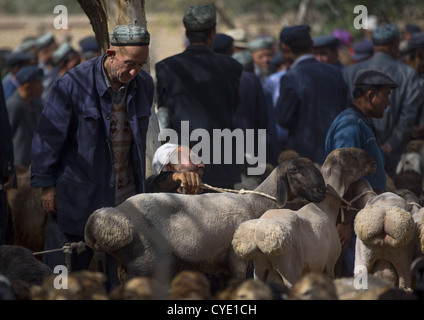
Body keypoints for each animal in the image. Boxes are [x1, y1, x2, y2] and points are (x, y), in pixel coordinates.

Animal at [84, 156, 326, 284]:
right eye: (295, 170)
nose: (321, 191)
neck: (254, 204)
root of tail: (110, 215)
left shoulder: (222, 265)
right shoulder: (236, 260)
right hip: (143, 264)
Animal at [232, 148, 378, 288]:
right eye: (349, 156)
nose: (373, 162)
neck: (325, 207)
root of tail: (260, 235)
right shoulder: (329, 264)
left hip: (260, 270)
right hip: (290, 271)